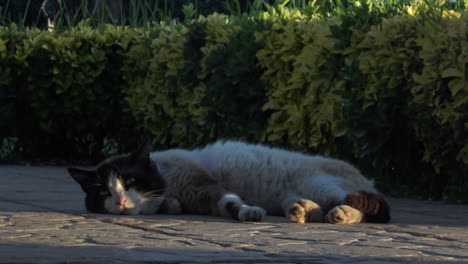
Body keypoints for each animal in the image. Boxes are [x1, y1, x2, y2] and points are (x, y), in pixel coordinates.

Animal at [68, 140, 392, 225]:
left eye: (130, 180)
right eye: (104, 191)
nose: (121, 200)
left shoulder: (207, 187)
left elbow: (232, 204)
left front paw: (250, 213)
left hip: (322, 185)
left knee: (368, 207)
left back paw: (341, 214)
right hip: (292, 196)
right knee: (313, 209)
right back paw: (302, 211)